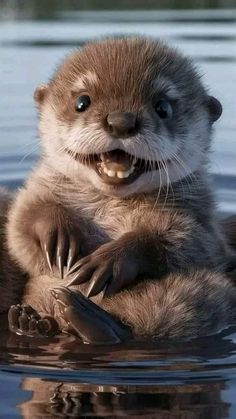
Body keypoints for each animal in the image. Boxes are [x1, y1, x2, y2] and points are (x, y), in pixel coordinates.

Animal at [3, 37, 236, 344]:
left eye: (163, 107)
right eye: (82, 102)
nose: (121, 122)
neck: (109, 203)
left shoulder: (202, 219)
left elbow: (186, 243)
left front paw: (110, 261)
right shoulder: (39, 187)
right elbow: (23, 223)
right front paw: (59, 237)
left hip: (198, 295)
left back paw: (87, 317)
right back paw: (30, 322)